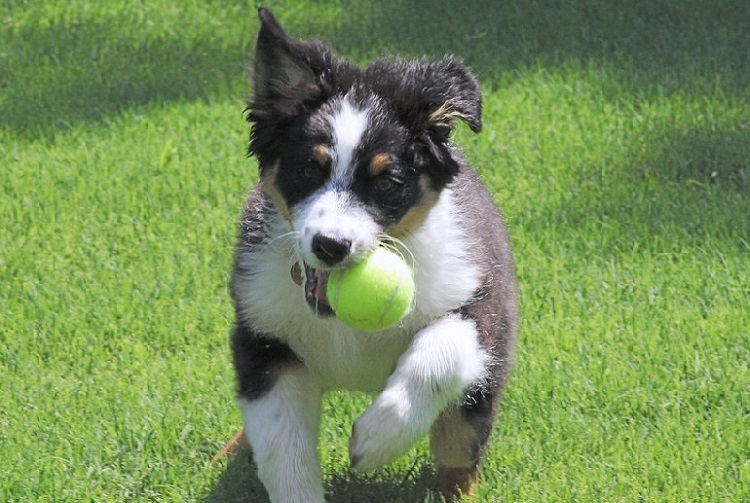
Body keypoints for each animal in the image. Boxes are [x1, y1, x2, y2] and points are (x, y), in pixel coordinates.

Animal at [220, 8, 520, 503]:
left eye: (386, 182)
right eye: (309, 168)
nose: (330, 245)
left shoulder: (481, 303)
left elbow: (437, 355)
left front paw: (375, 441)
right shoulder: (263, 337)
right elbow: (283, 441)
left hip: (481, 387)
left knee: (459, 447)